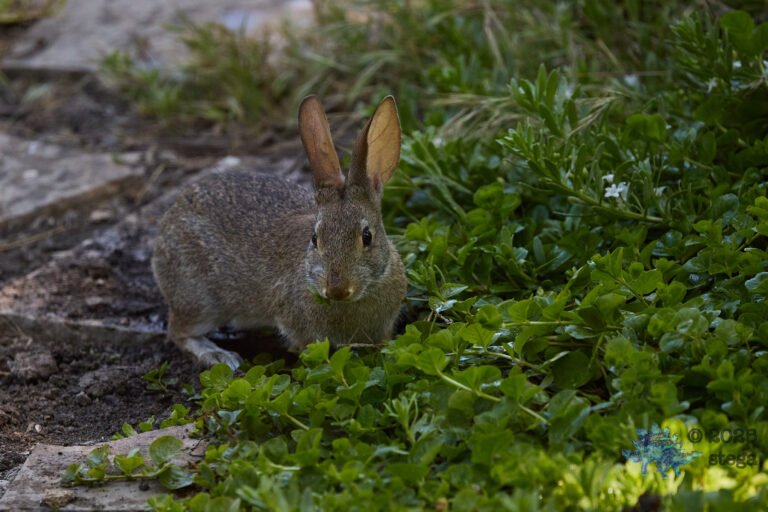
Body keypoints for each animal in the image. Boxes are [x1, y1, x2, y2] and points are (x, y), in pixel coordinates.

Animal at [151, 95, 407, 369]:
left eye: (366, 236)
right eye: (315, 239)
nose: (337, 289)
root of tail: (168, 221)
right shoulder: (296, 324)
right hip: (199, 298)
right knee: (178, 331)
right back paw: (219, 356)